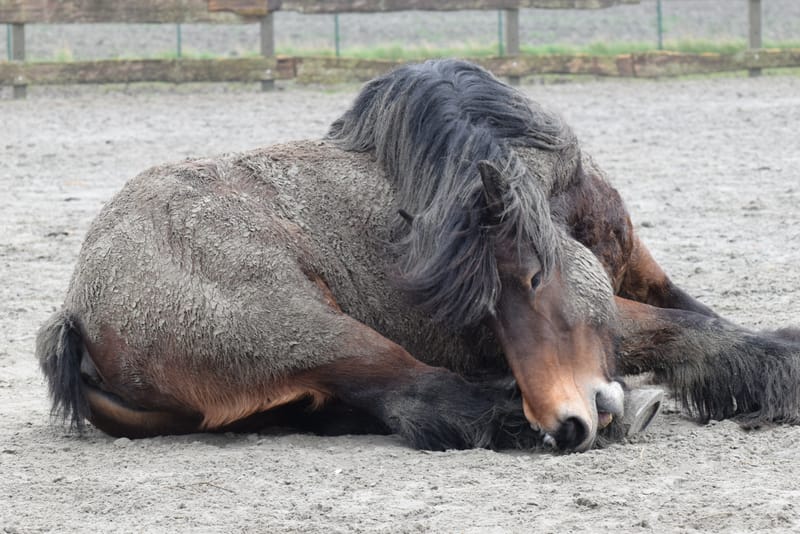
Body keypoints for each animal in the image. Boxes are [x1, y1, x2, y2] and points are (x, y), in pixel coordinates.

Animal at [36, 60, 800, 453]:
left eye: (533, 279)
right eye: (485, 314)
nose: (566, 424)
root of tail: (78, 308)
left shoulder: (645, 280)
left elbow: (705, 318)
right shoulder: (620, 310)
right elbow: (689, 331)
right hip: (306, 328)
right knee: (423, 398)